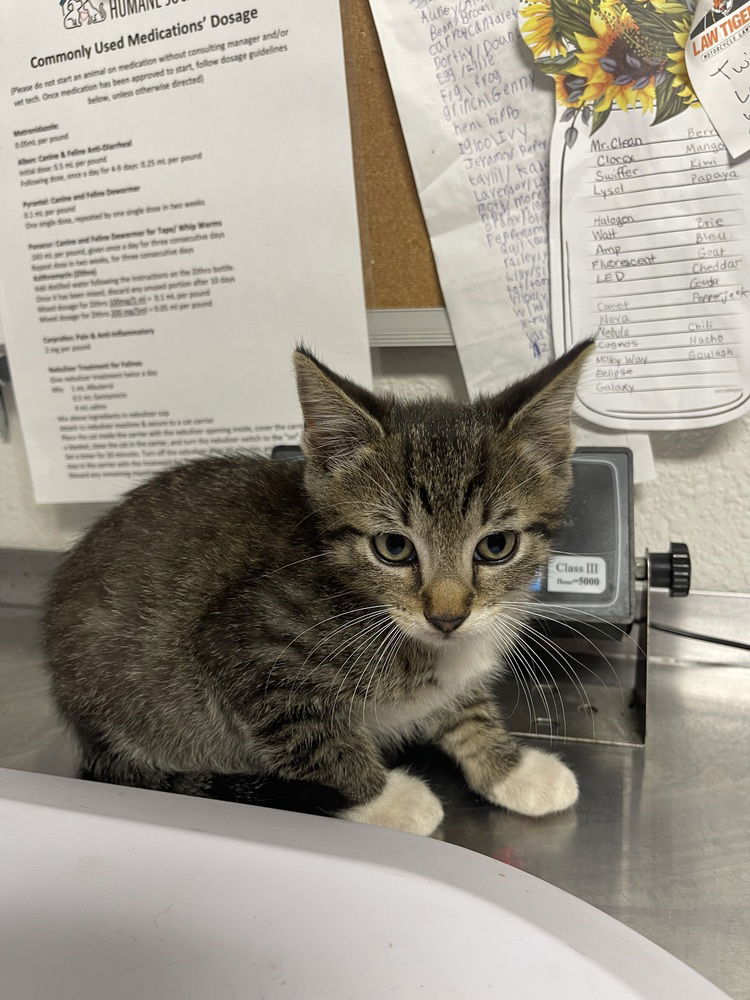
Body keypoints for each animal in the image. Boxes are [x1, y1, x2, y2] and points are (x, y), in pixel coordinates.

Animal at [44, 344, 596, 836]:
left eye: (496, 546)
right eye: (393, 547)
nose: (447, 616)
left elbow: (465, 706)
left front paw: (511, 768)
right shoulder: (247, 646)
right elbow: (313, 735)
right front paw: (386, 799)